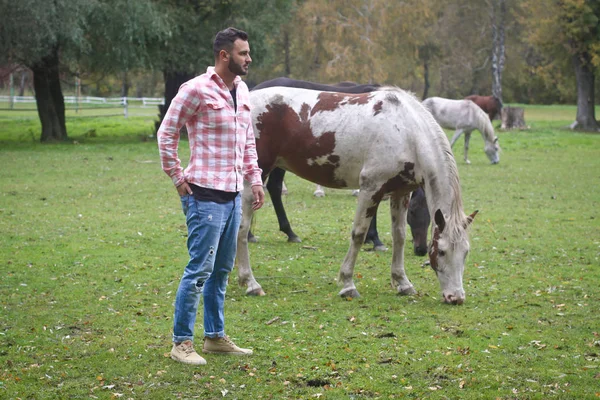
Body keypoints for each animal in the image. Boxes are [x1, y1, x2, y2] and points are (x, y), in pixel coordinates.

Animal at [237, 85, 476, 304]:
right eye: (442, 251)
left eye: (465, 252)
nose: (456, 297)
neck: (407, 132)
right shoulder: (371, 188)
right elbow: (359, 234)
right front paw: (348, 284)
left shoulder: (400, 193)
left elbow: (399, 235)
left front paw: (402, 282)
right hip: (255, 177)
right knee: (242, 227)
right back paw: (251, 283)